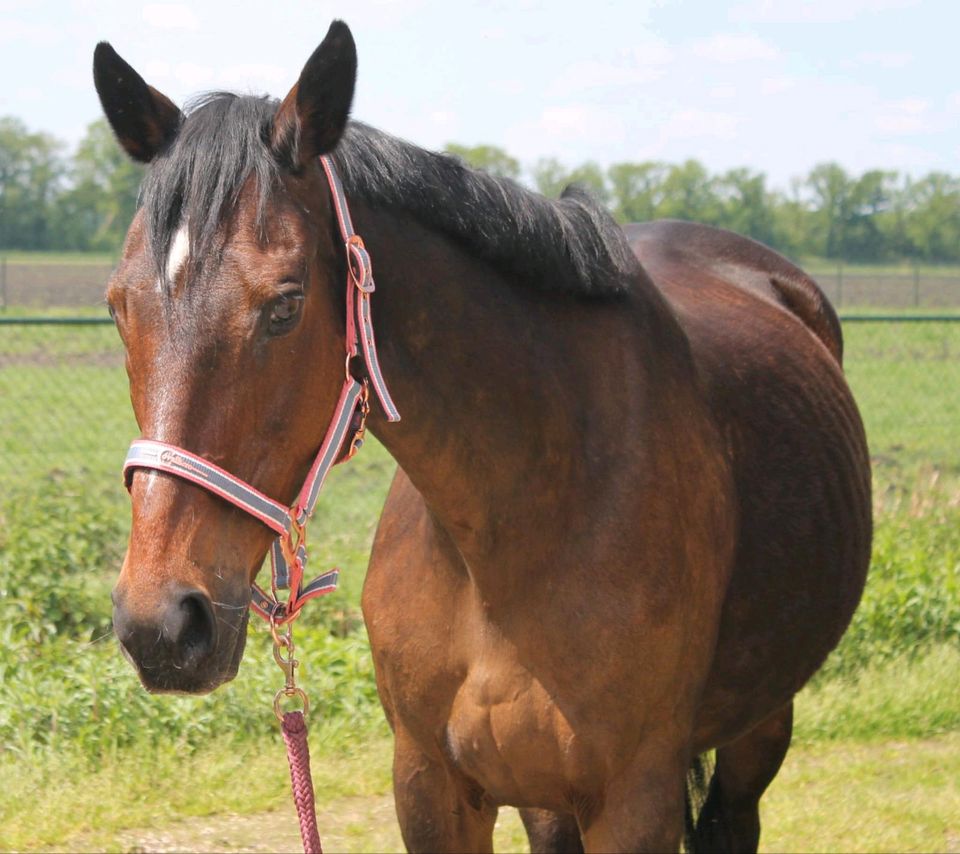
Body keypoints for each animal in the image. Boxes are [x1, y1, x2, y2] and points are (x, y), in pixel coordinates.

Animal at [95, 21, 872, 854]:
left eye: (285, 304)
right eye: (117, 305)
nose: (160, 624)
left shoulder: (634, 800)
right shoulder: (430, 786)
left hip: (759, 725)